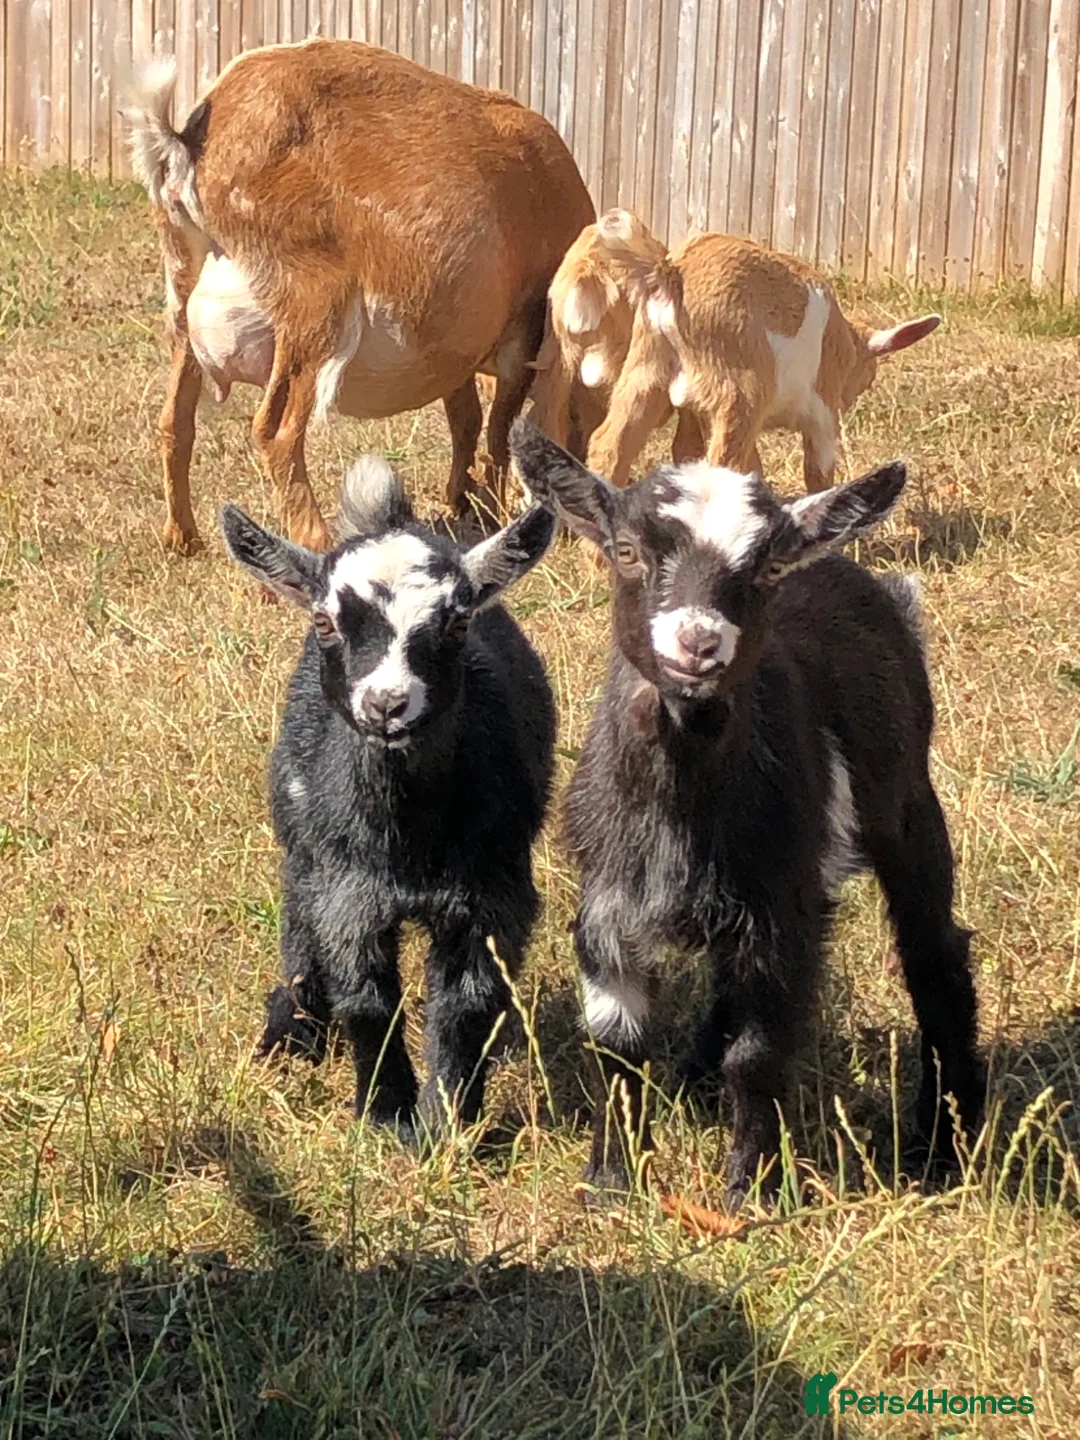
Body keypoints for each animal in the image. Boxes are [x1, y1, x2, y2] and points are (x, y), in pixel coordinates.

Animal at [125, 39, 594, 555]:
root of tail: (191, 143)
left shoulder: (457, 349)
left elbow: (466, 418)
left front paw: (462, 501)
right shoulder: (523, 329)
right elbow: (498, 429)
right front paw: (492, 513)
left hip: (182, 295)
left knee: (174, 420)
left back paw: (182, 537)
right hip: (314, 309)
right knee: (276, 431)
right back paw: (315, 541)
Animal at [221, 454, 556, 1132]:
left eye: (458, 622)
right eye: (324, 622)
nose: (387, 704)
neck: (407, 844)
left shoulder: (490, 893)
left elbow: (467, 1000)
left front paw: (449, 1122)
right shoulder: (347, 890)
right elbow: (367, 995)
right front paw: (385, 1114)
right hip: (302, 842)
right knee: (297, 911)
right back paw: (290, 1028)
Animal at [510, 419, 983, 1204]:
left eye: (765, 568)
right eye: (628, 550)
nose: (698, 643)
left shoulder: (782, 909)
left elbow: (759, 1054)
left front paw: (751, 1190)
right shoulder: (608, 900)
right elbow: (618, 1045)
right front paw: (611, 1180)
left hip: (908, 804)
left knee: (935, 954)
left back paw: (942, 1146)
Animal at [530, 210, 940, 492]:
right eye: (868, 378)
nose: (851, 396)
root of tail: (669, 273)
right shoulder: (821, 415)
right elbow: (818, 473)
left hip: (646, 372)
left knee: (609, 445)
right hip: (738, 392)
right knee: (715, 467)